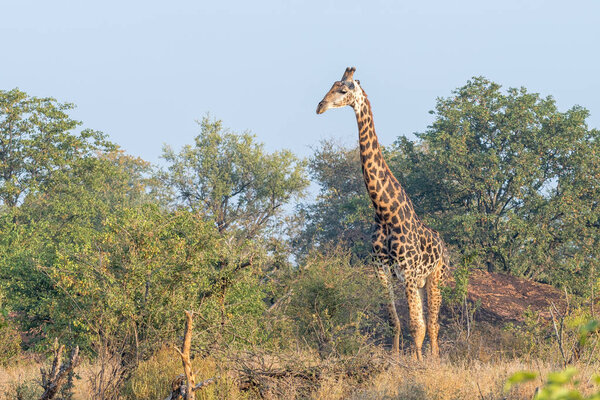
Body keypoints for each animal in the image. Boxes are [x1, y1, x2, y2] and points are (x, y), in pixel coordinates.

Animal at [316, 67, 448, 360]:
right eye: (331, 85)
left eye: (344, 89)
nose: (320, 106)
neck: (385, 213)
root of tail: (443, 244)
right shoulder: (382, 271)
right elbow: (395, 322)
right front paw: (396, 357)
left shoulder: (408, 271)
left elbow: (416, 326)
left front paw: (418, 363)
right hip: (420, 282)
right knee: (427, 322)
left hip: (436, 277)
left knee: (433, 324)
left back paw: (435, 360)